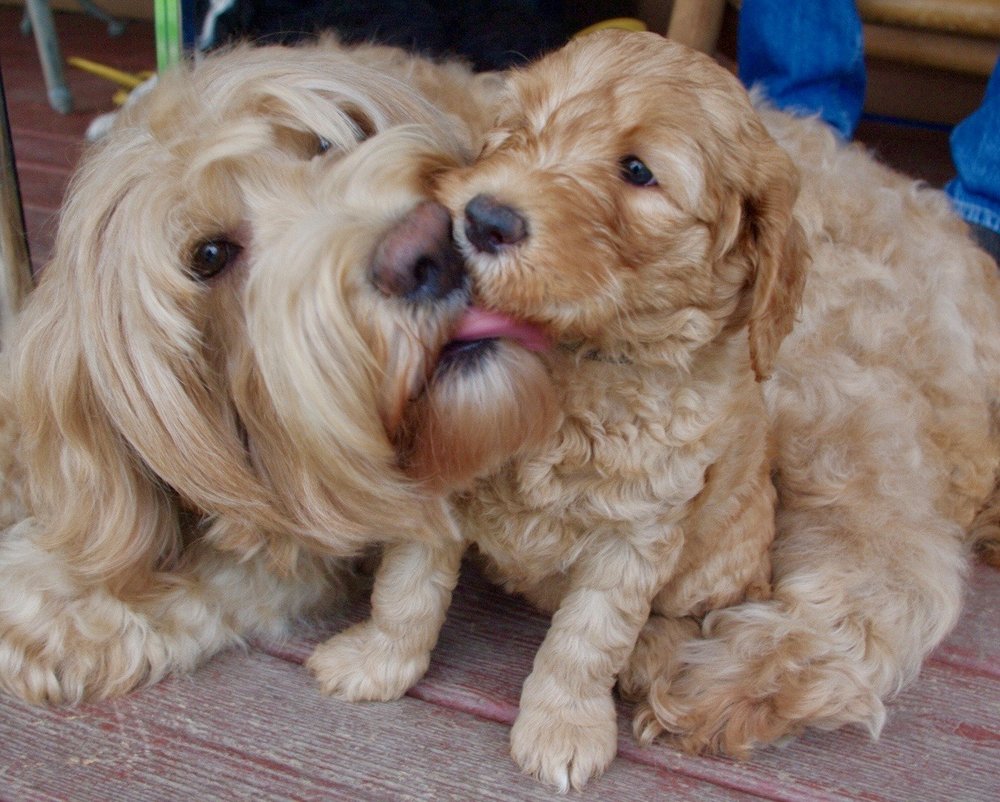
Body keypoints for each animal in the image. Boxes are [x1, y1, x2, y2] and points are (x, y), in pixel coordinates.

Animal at [436, 31, 1000, 788]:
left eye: (638, 171)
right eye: (515, 127)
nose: (482, 220)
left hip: (829, 400)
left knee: (894, 567)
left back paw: (729, 682)